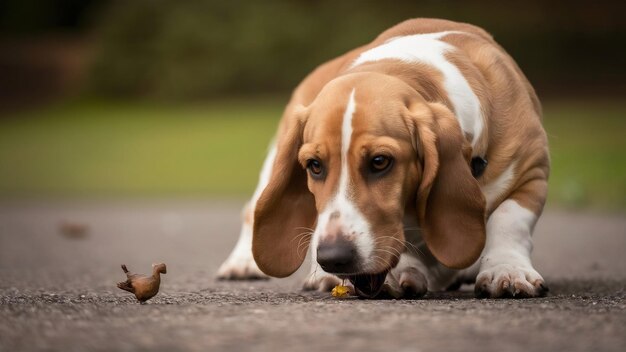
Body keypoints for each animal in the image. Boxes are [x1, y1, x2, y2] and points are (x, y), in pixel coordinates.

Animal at [214, 17, 544, 298]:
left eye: (380, 162)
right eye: (314, 166)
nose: (333, 258)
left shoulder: (533, 170)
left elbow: (509, 218)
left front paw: (508, 270)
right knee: (251, 210)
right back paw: (245, 263)